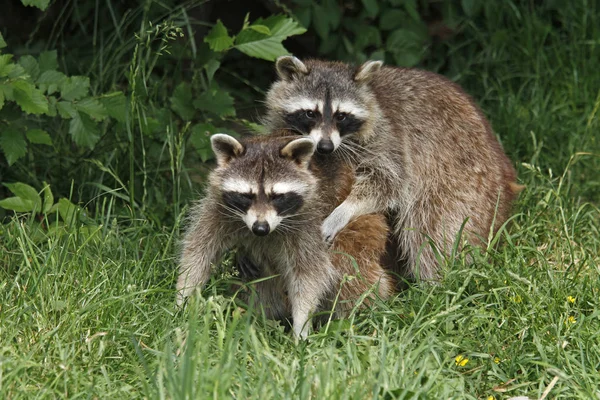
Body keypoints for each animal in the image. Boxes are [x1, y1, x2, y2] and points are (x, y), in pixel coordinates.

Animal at [177, 134, 394, 338]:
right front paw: (183, 301)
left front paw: (301, 325)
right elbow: (199, 251)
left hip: (361, 230)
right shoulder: (218, 207)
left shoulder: (309, 220)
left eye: (277, 197)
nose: (260, 228)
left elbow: (310, 273)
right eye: (247, 196)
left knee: (349, 269)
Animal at [264, 57, 524, 282]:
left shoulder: (389, 137)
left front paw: (344, 210)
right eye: (310, 113)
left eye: (341, 116)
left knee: (432, 228)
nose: (325, 146)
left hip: (462, 181)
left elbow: (389, 182)